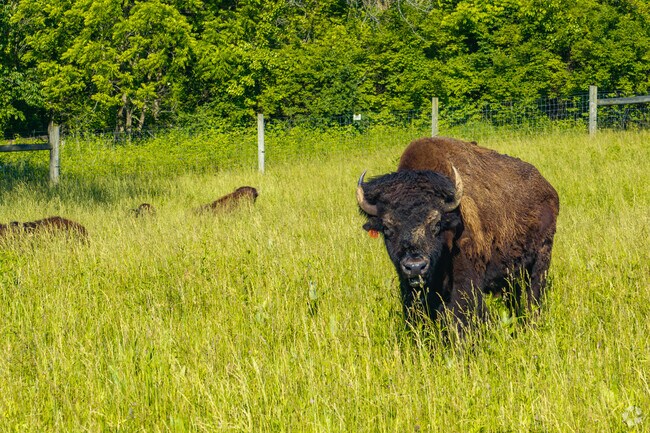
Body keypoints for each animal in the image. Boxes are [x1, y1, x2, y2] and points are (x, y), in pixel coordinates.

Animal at [357, 137, 559, 329]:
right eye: (387, 228)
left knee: (534, 294)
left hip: (541, 259)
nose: (415, 266)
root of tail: (548, 188)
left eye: (436, 224)